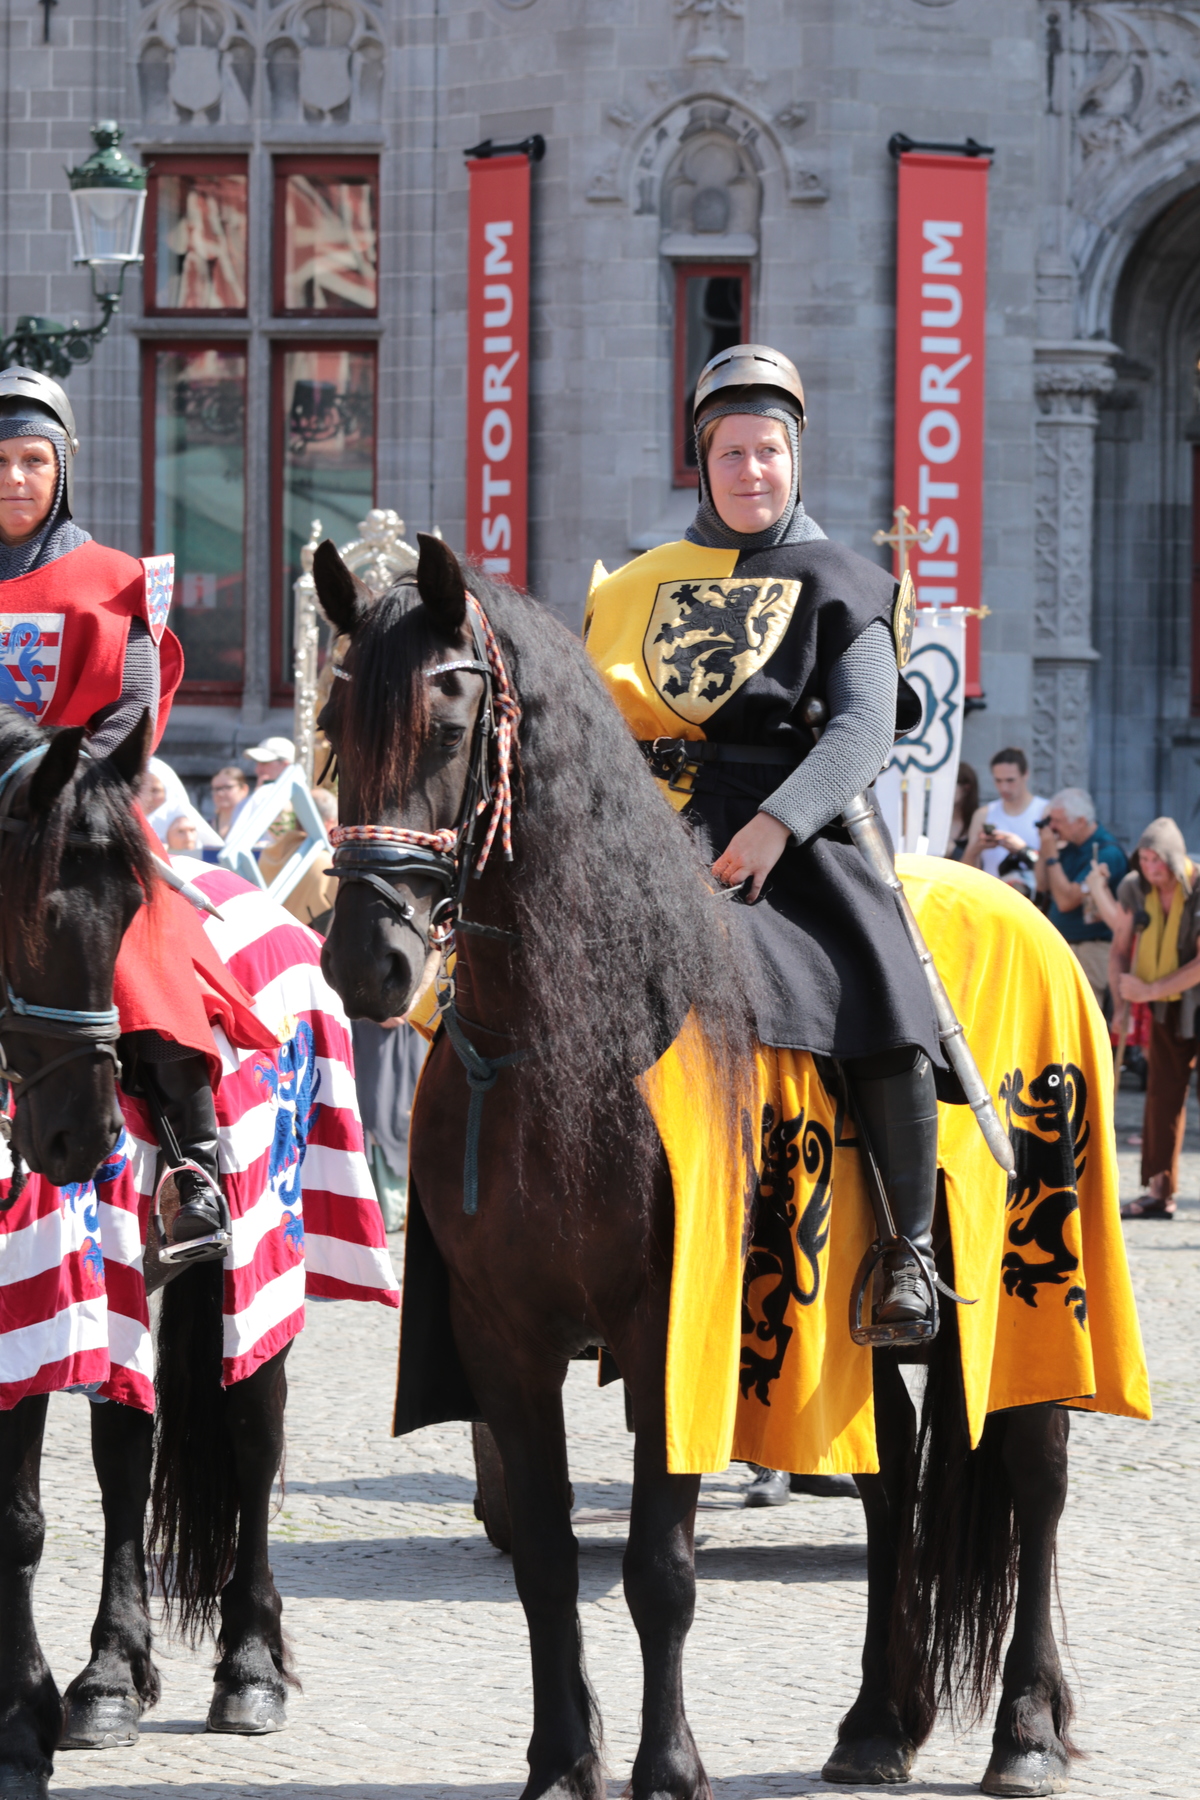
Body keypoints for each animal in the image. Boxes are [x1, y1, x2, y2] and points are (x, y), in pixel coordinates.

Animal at [313, 533, 1092, 1800]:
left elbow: (659, 1570)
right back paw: (877, 1722)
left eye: (450, 712)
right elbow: (545, 1561)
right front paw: (561, 1764)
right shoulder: (503, 1337)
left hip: (1028, 1279)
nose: (368, 960)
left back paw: (1024, 1729)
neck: (576, 1035)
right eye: (332, 715)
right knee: (891, 1480)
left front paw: (668, 1767)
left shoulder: (672, 1327)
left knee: (1034, 1472)